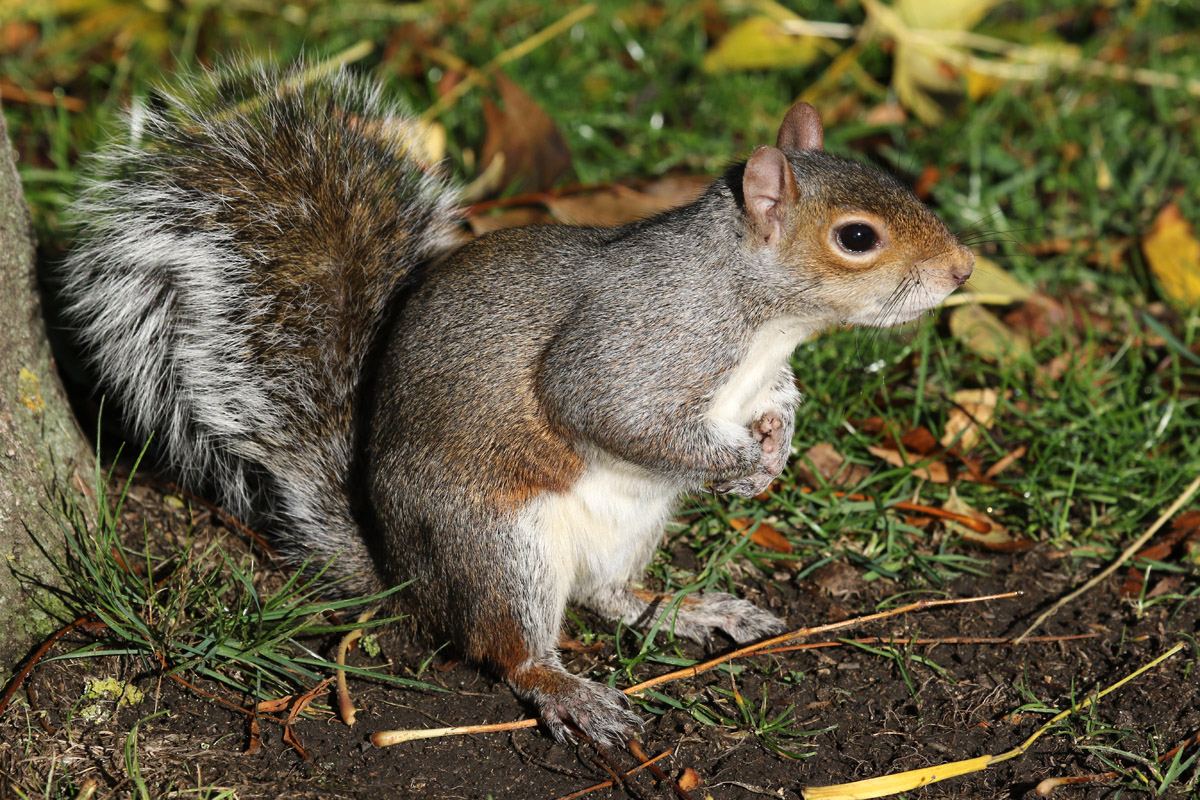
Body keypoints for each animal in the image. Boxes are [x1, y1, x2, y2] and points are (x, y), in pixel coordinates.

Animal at [61, 62, 974, 745]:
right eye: (857, 237)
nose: (964, 269)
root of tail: (408, 579)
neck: (763, 315)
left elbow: (783, 396)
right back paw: (566, 688)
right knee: (508, 646)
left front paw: (777, 446)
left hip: (628, 526)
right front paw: (740, 463)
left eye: (889, 176)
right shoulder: (636, 344)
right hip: (501, 546)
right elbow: (611, 412)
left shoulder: (765, 372)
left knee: (609, 596)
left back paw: (686, 606)